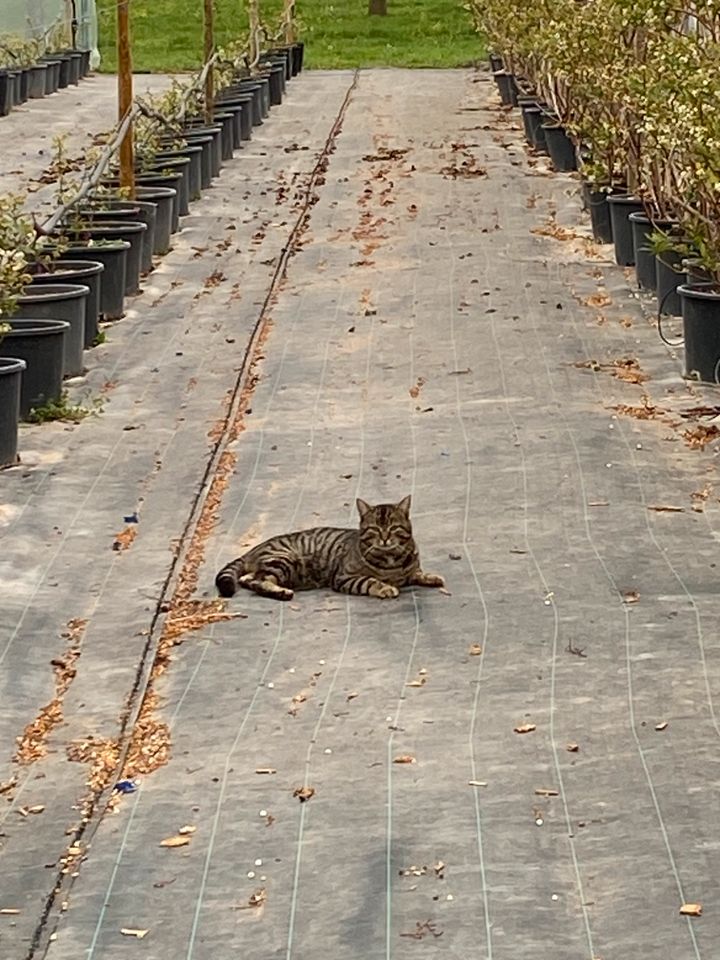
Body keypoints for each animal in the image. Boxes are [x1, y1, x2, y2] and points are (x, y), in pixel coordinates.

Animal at [215, 496, 444, 600]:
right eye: (375, 529)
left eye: (393, 528)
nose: (385, 539)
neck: (391, 560)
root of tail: (252, 550)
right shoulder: (345, 577)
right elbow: (370, 581)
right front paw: (385, 587)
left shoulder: (411, 571)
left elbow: (418, 573)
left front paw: (432, 577)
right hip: (283, 560)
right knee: (259, 581)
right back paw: (282, 592)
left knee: (250, 579)